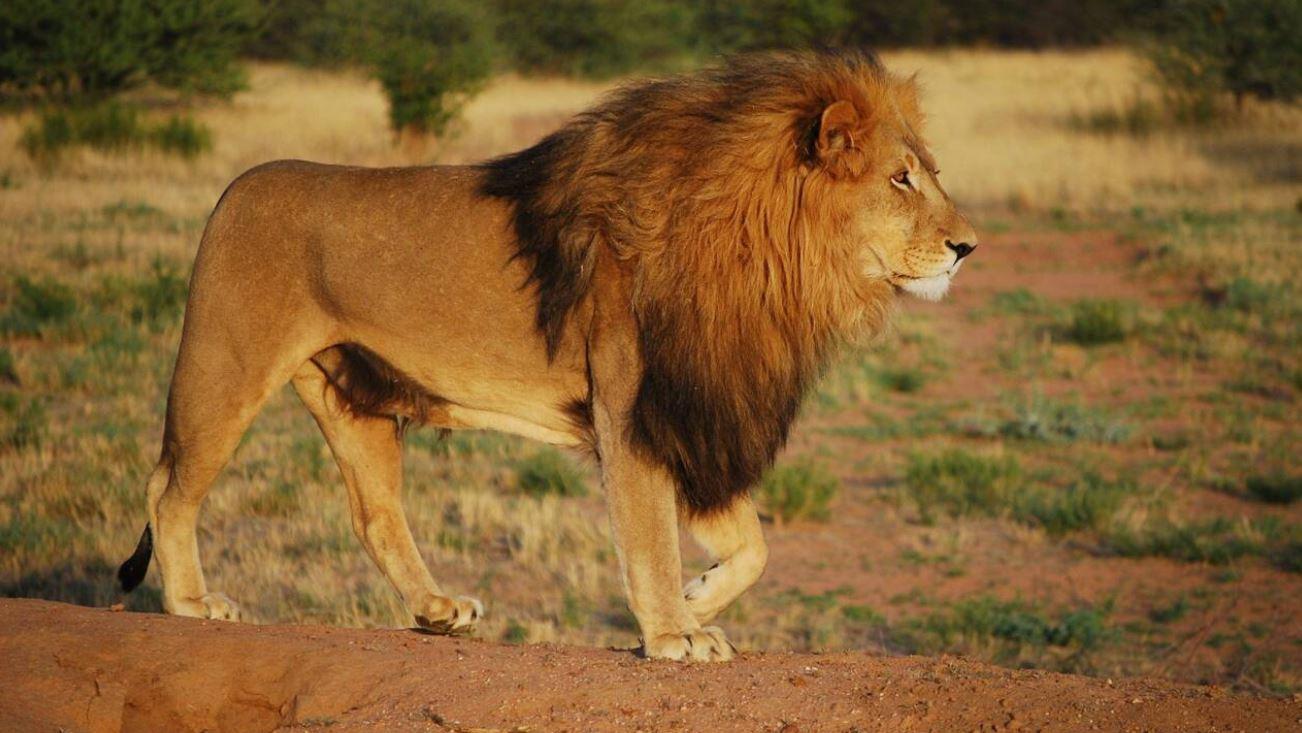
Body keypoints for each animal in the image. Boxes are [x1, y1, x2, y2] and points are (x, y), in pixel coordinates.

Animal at [117, 49, 976, 661]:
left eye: (930, 174)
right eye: (900, 180)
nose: (969, 246)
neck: (771, 259)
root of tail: (234, 187)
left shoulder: (690, 410)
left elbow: (754, 544)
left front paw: (696, 598)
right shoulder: (635, 407)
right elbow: (650, 533)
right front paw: (672, 632)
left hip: (352, 396)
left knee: (375, 515)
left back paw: (438, 611)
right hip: (225, 364)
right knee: (168, 486)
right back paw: (193, 602)